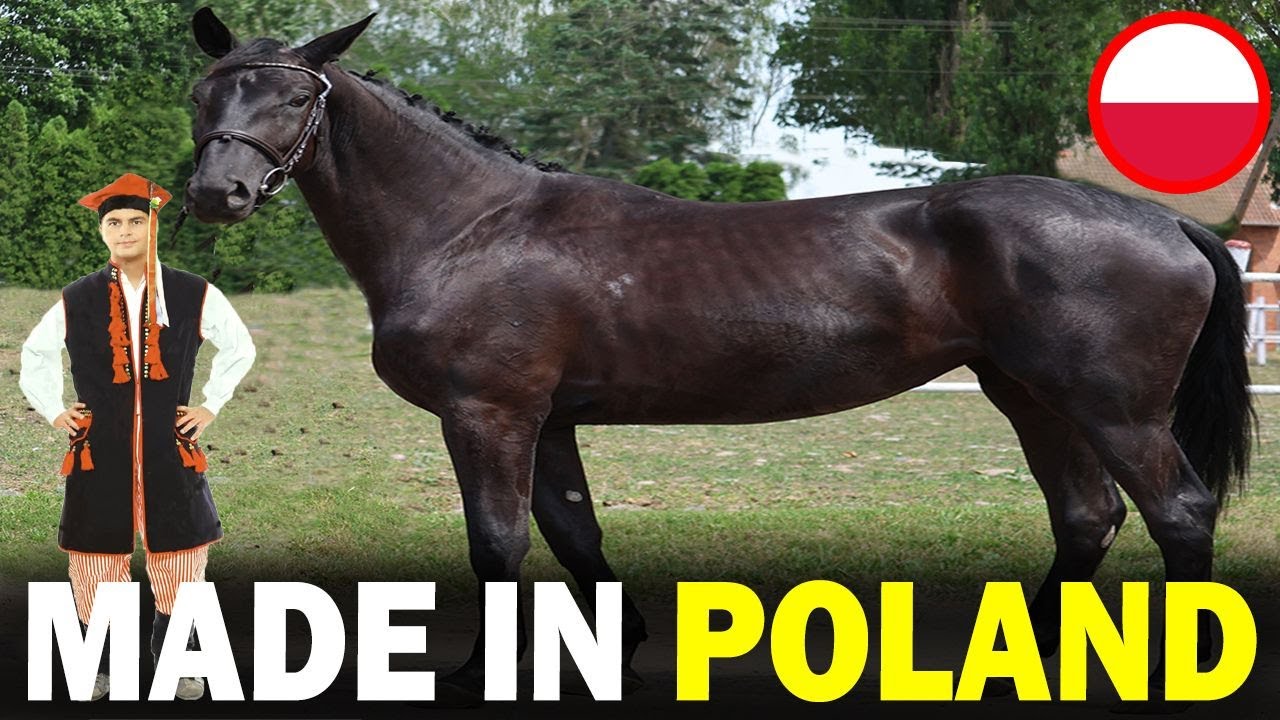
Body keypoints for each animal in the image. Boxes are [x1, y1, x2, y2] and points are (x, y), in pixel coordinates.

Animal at [184, 8, 1252, 705]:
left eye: (295, 95)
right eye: (207, 93)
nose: (215, 194)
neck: (471, 227)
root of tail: (1163, 220)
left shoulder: (490, 415)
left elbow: (499, 544)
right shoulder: (551, 422)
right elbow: (576, 537)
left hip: (1114, 409)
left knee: (1177, 512)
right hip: (1031, 395)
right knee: (1087, 517)